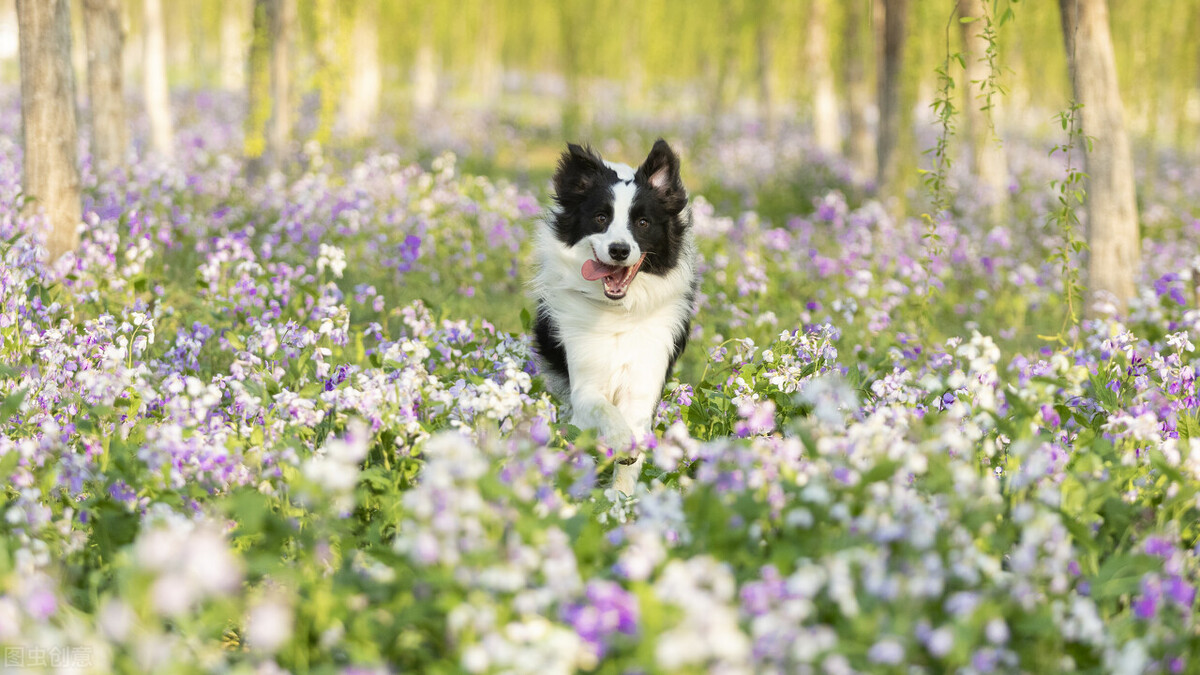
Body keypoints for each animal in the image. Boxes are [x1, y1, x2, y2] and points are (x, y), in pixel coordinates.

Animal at [532, 139, 696, 492]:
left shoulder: (645, 378)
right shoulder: (584, 383)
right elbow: (603, 408)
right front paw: (621, 442)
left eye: (643, 222)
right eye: (600, 217)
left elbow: (635, 432)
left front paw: (621, 495)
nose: (619, 250)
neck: (618, 310)